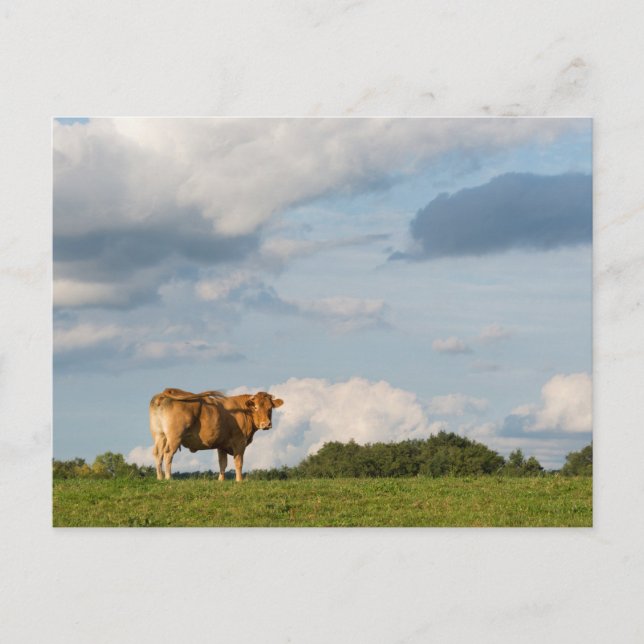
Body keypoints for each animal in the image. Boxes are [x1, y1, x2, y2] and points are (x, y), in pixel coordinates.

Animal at [149, 387, 284, 482]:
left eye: (270, 408)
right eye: (255, 407)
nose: (266, 424)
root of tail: (162, 394)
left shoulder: (222, 444)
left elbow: (222, 463)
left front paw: (221, 480)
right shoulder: (239, 442)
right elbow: (238, 462)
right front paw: (239, 480)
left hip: (160, 435)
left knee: (157, 453)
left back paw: (159, 477)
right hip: (174, 437)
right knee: (168, 453)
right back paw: (168, 477)